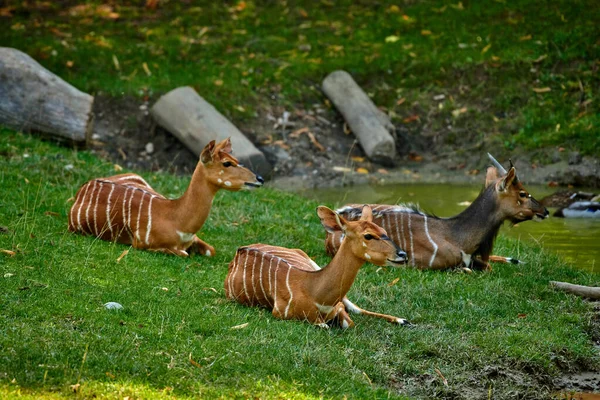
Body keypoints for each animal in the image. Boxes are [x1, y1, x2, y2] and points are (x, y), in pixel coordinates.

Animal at [68, 138, 262, 256]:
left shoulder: (194, 239)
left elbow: (211, 250)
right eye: (227, 163)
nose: (259, 178)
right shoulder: (142, 244)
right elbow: (184, 254)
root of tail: (82, 189)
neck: (176, 220)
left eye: (236, 160)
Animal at [224, 206, 408, 328]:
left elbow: (351, 322)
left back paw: (403, 320)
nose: (403, 254)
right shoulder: (285, 314)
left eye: (384, 230)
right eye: (368, 236)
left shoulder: (338, 308)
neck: (313, 291)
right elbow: (327, 326)